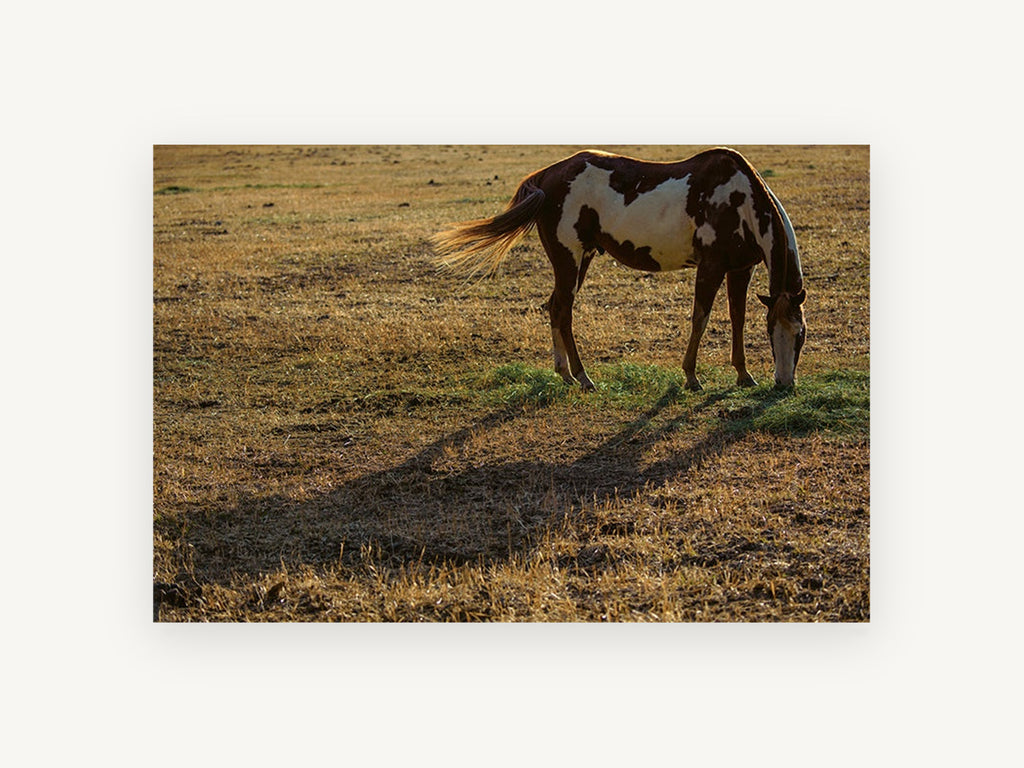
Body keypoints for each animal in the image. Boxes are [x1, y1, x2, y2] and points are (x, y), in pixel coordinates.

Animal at [432, 147, 806, 391]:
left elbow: (737, 318)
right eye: (773, 336)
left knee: (555, 307)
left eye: (800, 335)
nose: (784, 384)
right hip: (569, 259)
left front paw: (743, 375)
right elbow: (700, 319)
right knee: (563, 310)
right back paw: (582, 377)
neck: (739, 200)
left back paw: (565, 373)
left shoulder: (740, 269)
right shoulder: (711, 267)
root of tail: (546, 176)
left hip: (581, 259)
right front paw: (691, 376)